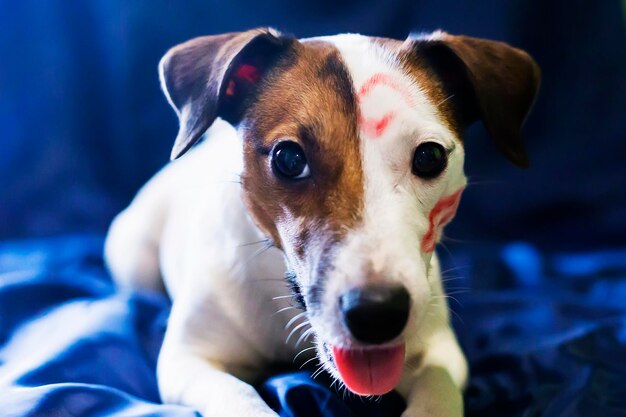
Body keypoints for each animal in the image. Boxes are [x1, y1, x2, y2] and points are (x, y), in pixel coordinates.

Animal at [102, 27, 536, 414]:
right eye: (289, 158)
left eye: (430, 157)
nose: (377, 313)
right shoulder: (189, 360)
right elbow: (237, 397)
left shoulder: (439, 351)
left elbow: (438, 390)